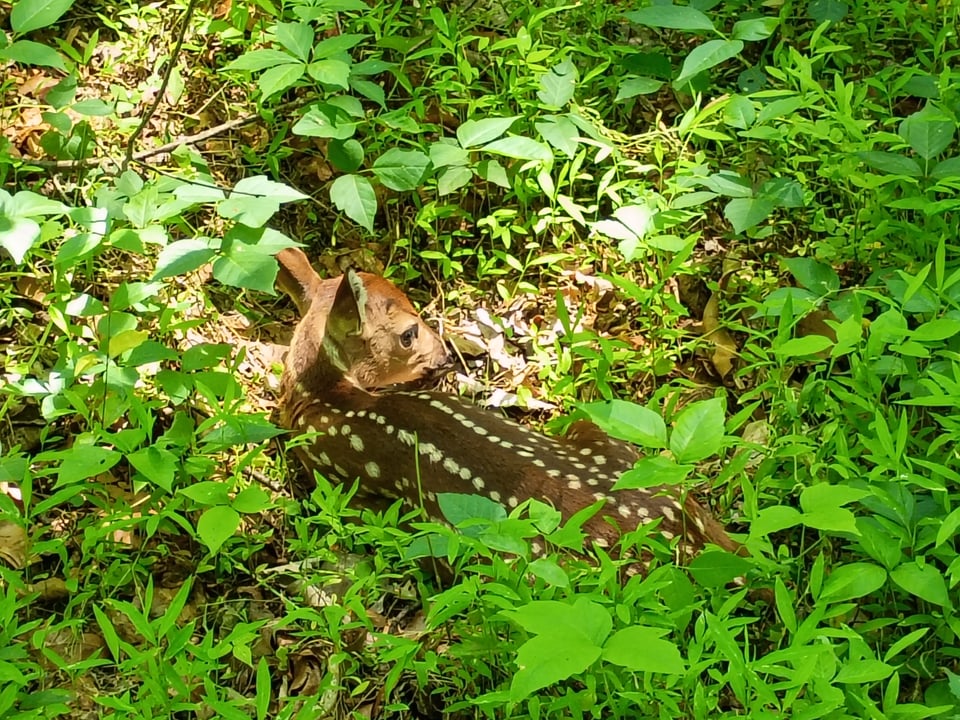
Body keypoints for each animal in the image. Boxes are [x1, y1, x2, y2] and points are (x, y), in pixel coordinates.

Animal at [275, 247, 741, 568]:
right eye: (408, 334)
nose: (445, 355)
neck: (321, 397)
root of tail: (686, 527)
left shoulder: (336, 478)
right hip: (594, 432)